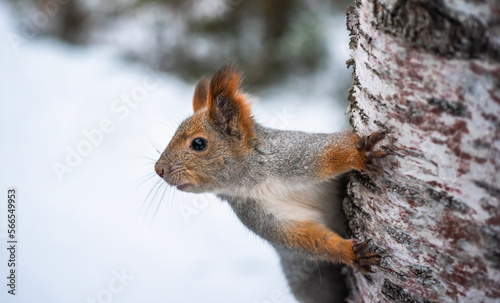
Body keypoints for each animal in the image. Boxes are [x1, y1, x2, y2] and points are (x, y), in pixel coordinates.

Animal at [154, 64, 384, 303]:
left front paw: (359, 154)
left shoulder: (298, 155)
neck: (253, 182)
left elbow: (332, 152)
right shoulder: (258, 215)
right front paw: (350, 253)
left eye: (198, 143)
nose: (158, 170)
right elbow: (305, 240)